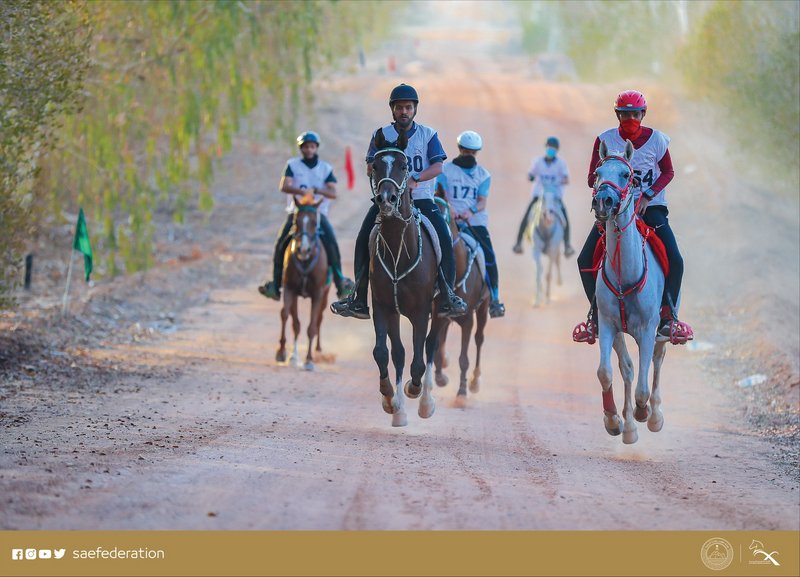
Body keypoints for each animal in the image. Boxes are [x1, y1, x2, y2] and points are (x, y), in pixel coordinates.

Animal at [276, 198, 330, 368]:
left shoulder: (318, 294)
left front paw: (309, 360)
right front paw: (286, 354)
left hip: (325, 295)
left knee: (319, 318)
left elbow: (311, 326)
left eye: (314, 222)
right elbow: (288, 318)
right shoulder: (290, 289)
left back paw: (318, 349)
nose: (303, 249)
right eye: (296, 221)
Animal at [428, 189, 490, 404]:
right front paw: (440, 378)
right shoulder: (437, 313)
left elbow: (464, 358)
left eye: (444, 213)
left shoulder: (467, 319)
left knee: (479, 339)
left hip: (483, 307)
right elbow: (435, 345)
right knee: (442, 339)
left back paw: (475, 381)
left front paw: (462, 392)